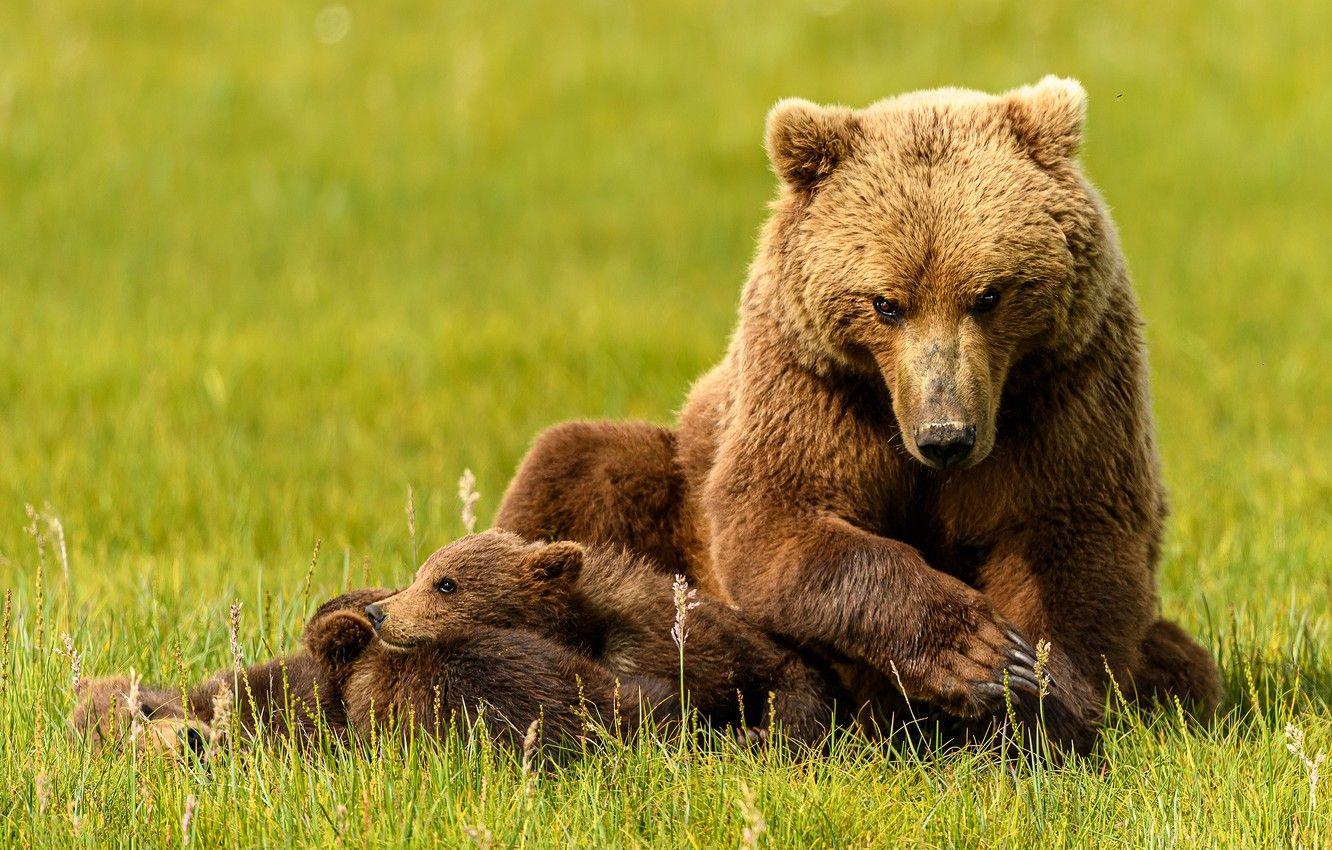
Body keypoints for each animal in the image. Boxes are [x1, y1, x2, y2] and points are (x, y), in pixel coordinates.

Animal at [495, 77, 1222, 753]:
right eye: (885, 303)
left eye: (989, 294)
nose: (945, 436)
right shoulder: (813, 382)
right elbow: (781, 517)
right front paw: (974, 651)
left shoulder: (1068, 385)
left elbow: (1073, 537)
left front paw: (1034, 698)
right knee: (580, 464)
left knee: (1188, 667)